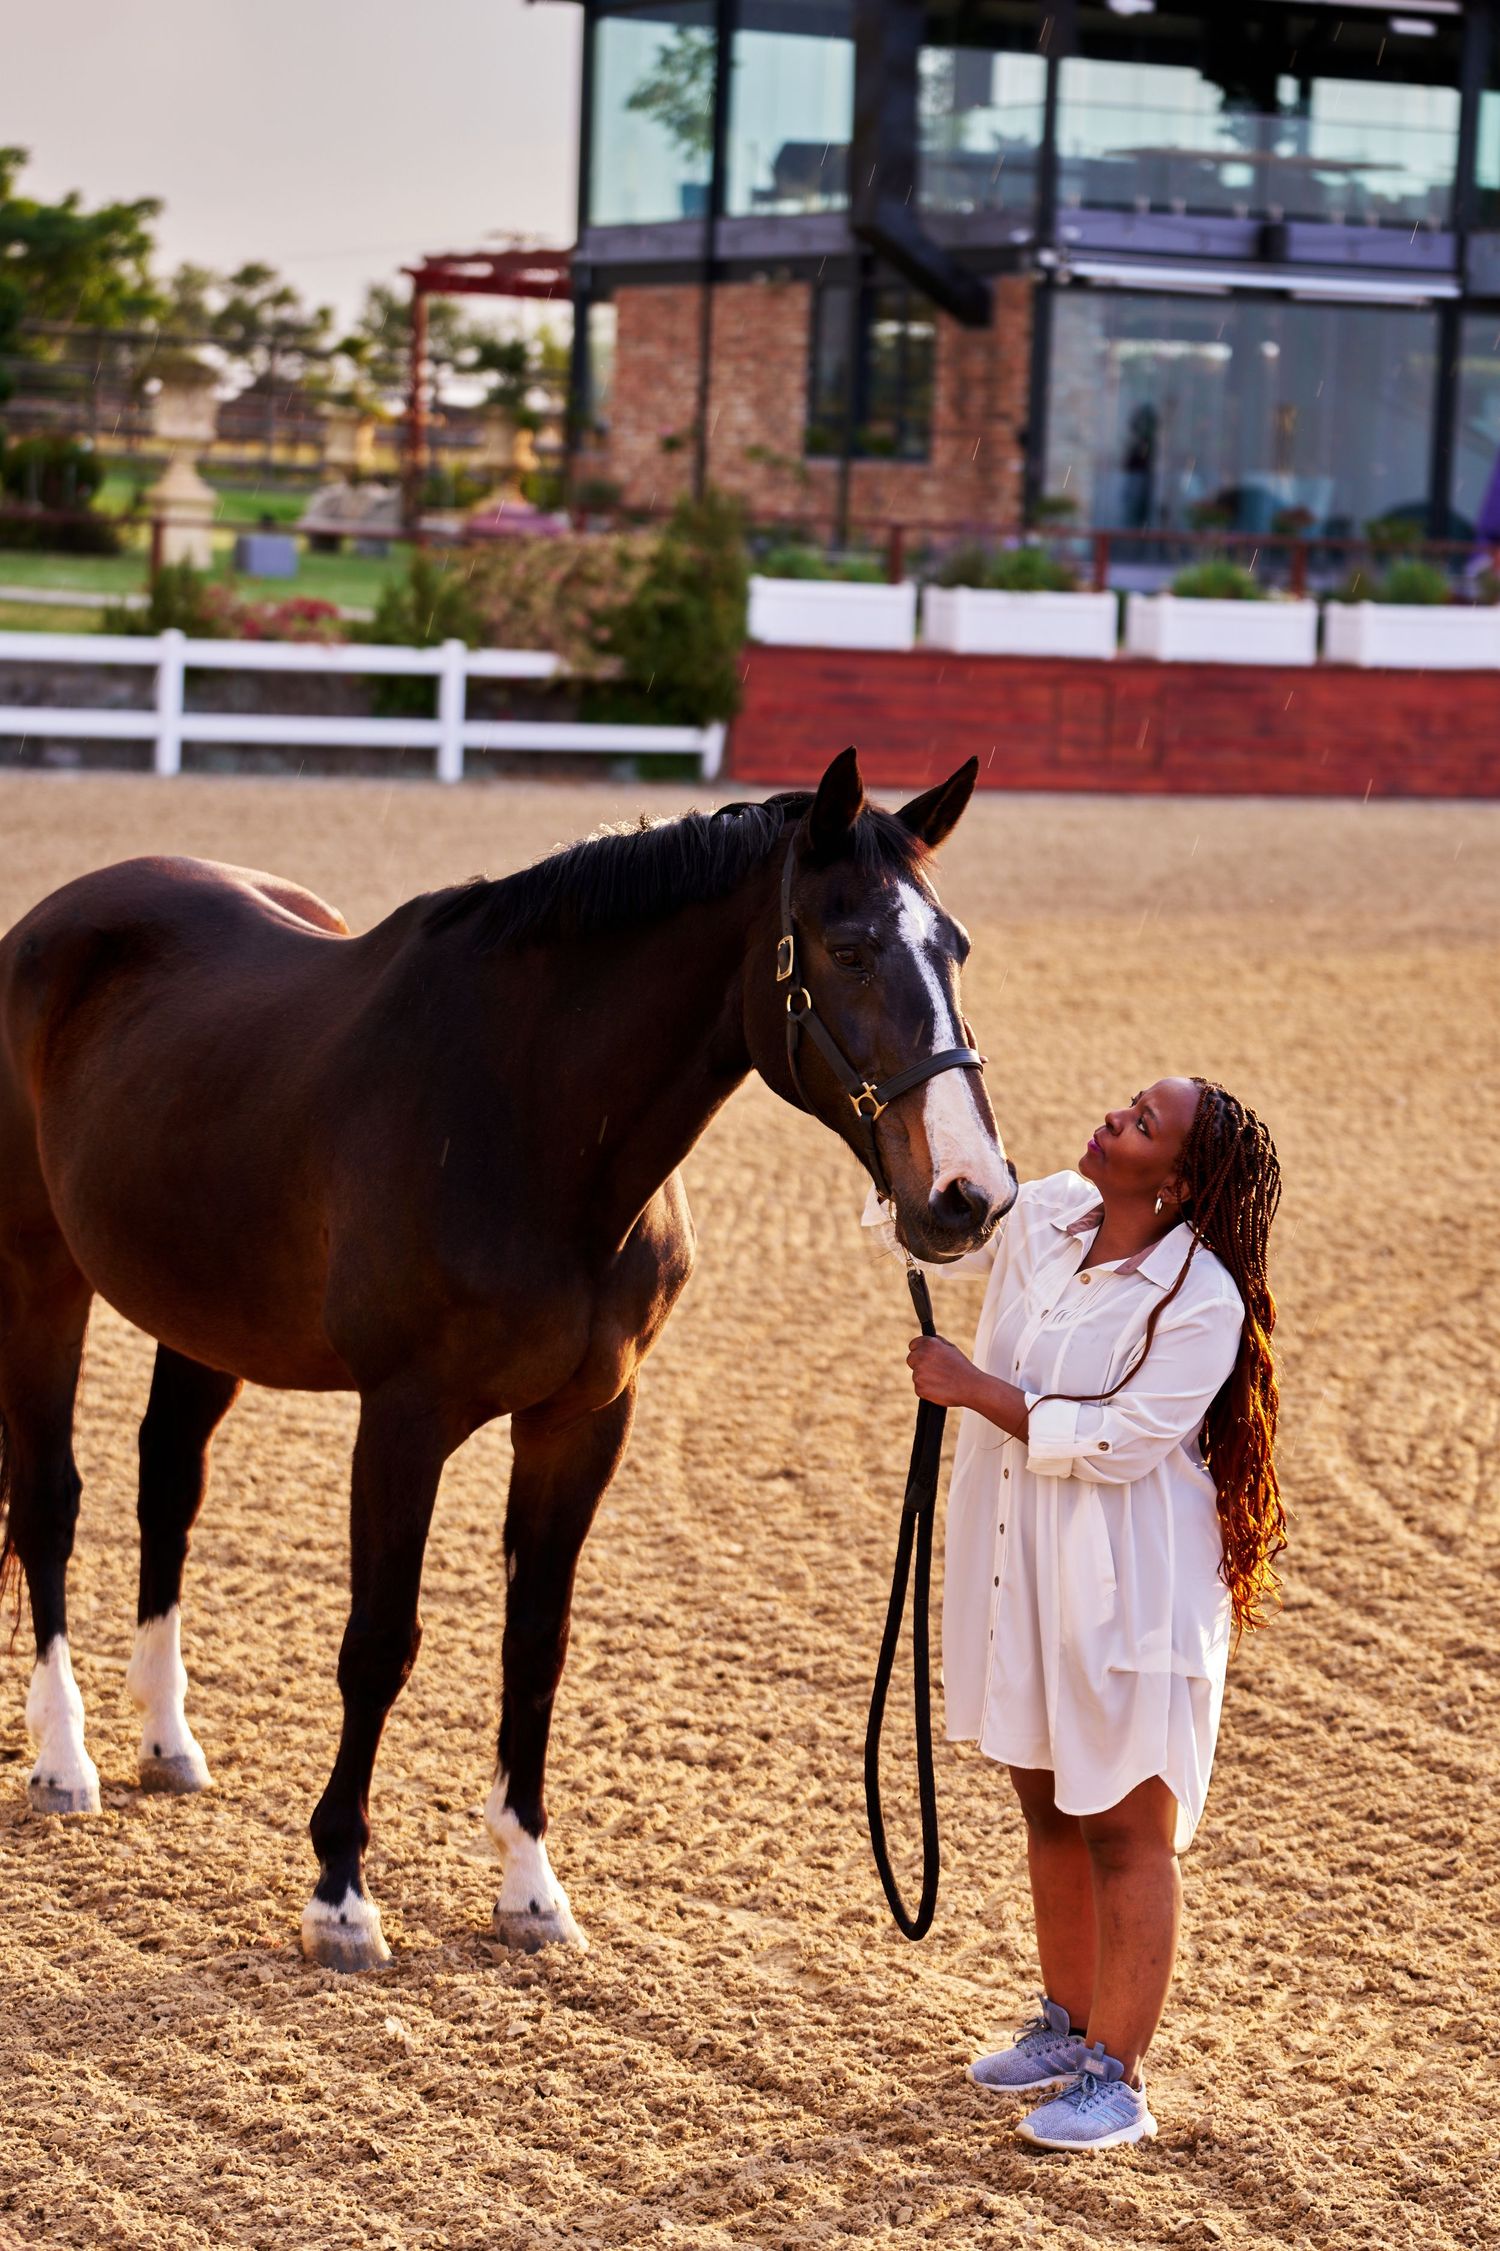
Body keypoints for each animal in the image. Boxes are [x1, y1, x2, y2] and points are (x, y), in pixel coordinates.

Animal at [0, 747, 1013, 1968]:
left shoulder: (583, 1420)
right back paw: (64, 1757)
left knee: (167, 1489)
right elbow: (379, 1640)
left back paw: (165, 1738)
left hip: (201, 1313)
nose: (968, 1196)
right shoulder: (402, 1418)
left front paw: (530, 1888)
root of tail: (55, 919)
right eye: (850, 948)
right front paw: (341, 1893)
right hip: (41, 1274)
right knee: (49, 1500)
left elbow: (536, 1644)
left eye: (956, 948)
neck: (533, 1121)